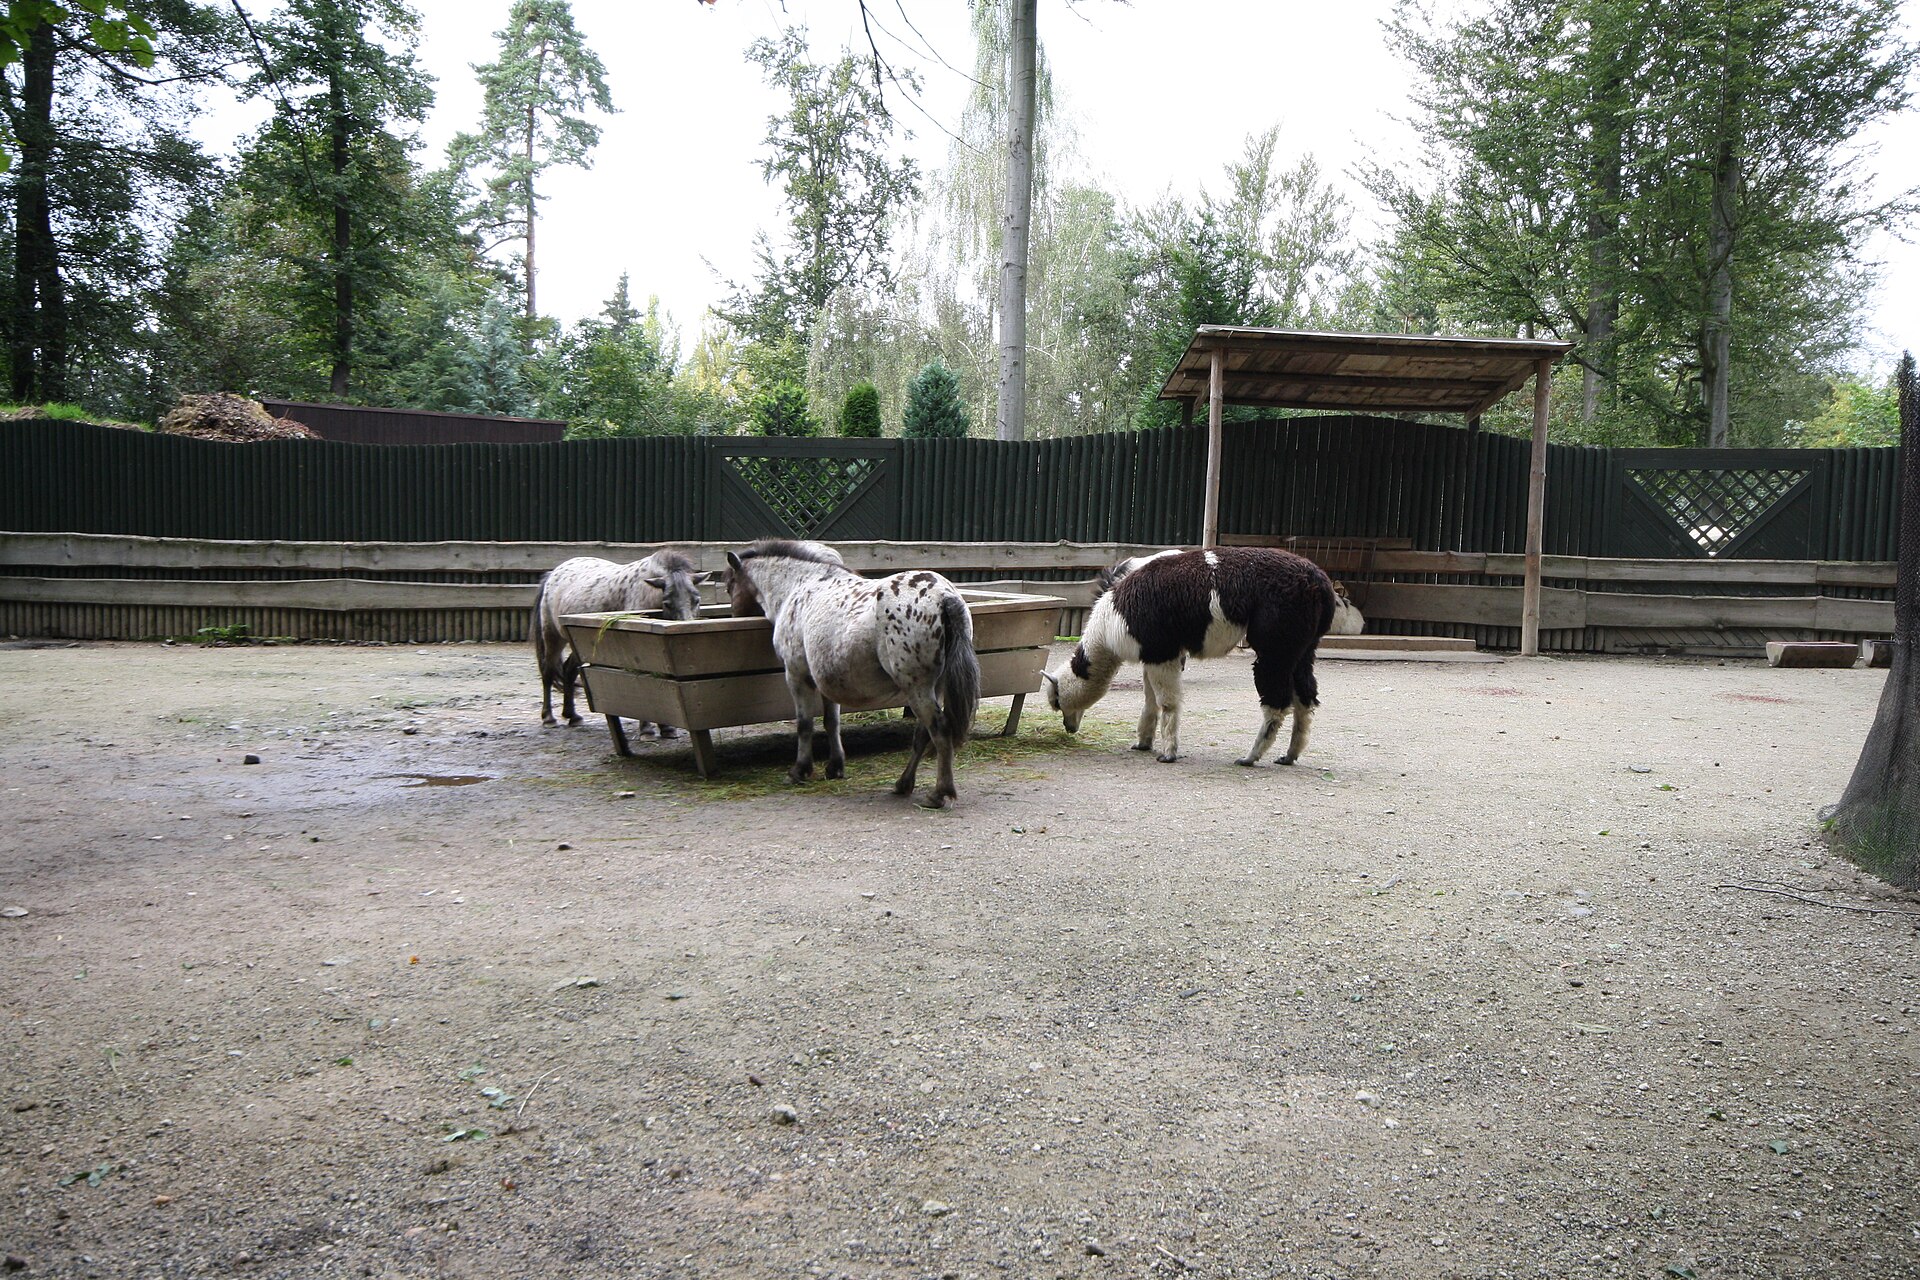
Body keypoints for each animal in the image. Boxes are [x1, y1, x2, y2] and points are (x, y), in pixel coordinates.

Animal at [531, 550, 703, 754]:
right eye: (667, 602)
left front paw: (666, 728)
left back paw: (572, 716)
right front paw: (647, 730)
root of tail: (553, 575)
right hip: (553, 637)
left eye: (697, 599)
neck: (647, 594)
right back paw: (549, 718)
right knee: (548, 672)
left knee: (569, 671)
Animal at [723, 539, 980, 808]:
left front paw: (799, 770)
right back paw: (903, 784)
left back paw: (939, 793)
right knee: (922, 734)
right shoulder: (825, 679)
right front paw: (835, 767)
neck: (800, 584)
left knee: (939, 731)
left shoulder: (796, 675)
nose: (734, 617)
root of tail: (944, 597)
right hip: (933, 688)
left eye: (729, 586)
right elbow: (831, 722)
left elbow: (804, 724)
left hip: (917, 689)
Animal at [1043, 547, 1336, 767]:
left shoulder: (1163, 651)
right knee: (1305, 695)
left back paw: (1250, 757)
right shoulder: (1152, 652)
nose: (1069, 727)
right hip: (1303, 646)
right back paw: (1289, 755)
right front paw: (1143, 742)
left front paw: (1168, 753)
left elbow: (1167, 702)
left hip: (1276, 644)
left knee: (1277, 701)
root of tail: (1320, 581)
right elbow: (1150, 700)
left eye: (1057, 701)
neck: (1109, 623)